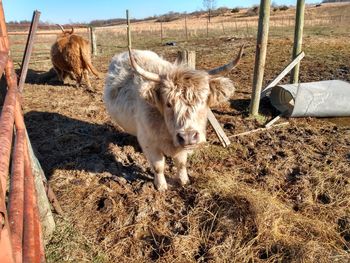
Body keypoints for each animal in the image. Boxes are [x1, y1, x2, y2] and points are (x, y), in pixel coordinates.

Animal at [102, 47, 242, 192]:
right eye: (169, 104)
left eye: (203, 101)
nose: (188, 136)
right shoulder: (149, 142)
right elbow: (158, 166)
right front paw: (161, 186)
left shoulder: (181, 146)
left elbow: (181, 163)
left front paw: (184, 180)